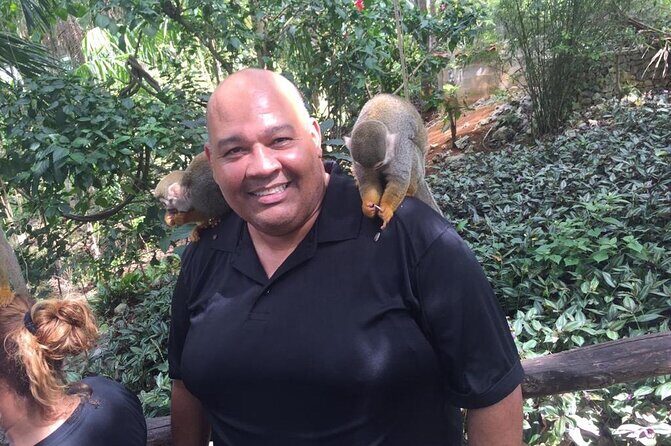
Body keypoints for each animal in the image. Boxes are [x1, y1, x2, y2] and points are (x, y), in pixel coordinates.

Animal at [344, 94, 442, 229]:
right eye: (363, 165)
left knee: (411, 149)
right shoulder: (356, 159)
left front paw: (386, 209)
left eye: (379, 165)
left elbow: (399, 178)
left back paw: (410, 190)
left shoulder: (399, 146)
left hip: (420, 167)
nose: (374, 170)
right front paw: (368, 206)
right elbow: (368, 180)